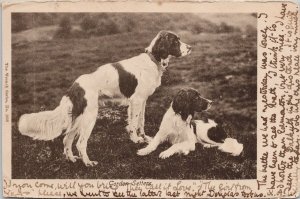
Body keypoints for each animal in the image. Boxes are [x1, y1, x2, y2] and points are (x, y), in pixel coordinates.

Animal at [18, 29, 192, 166]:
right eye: (175, 41)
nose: (190, 48)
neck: (152, 60)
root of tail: (75, 87)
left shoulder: (142, 100)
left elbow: (140, 122)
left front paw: (144, 138)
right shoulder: (136, 100)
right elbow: (134, 123)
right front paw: (135, 139)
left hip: (78, 119)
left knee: (66, 139)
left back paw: (72, 159)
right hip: (89, 117)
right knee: (80, 143)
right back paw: (88, 163)